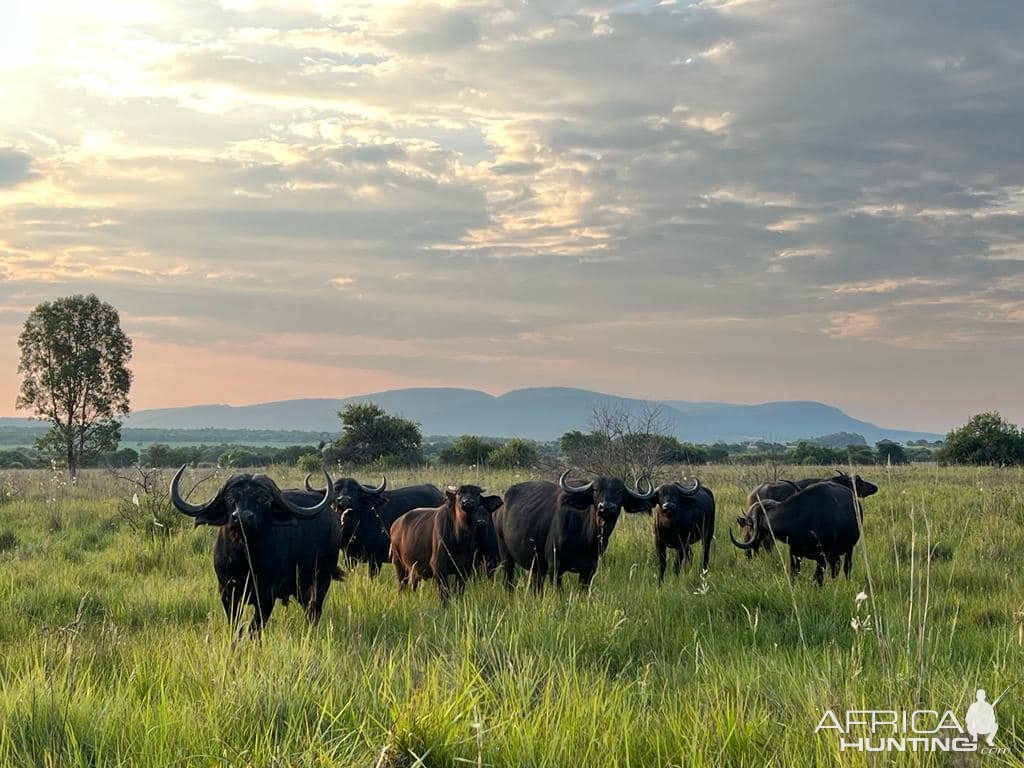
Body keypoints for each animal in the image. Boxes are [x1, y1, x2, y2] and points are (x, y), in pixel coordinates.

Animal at [172, 466, 339, 634]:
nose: (242, 517)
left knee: (314, 610)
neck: (245, 558)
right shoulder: (226, 591)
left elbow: (254, 628)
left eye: (264, 498)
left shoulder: (267, 595)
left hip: (322, 579)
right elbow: (235, 624)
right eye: (230, 498)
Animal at [305, 475, 446, 577]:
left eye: (354, 490)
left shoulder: (376, 559)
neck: (355, 527)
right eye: (336, 489)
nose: (344, 500)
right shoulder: (349, 557)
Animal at [495, 473, 655, 593]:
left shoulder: (589, 570)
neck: (586, 538)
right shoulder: (555, 568)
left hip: (536, 566)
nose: (606, 507)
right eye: (596, 490)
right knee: (508, 579)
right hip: (505, 555)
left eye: (620, 491)